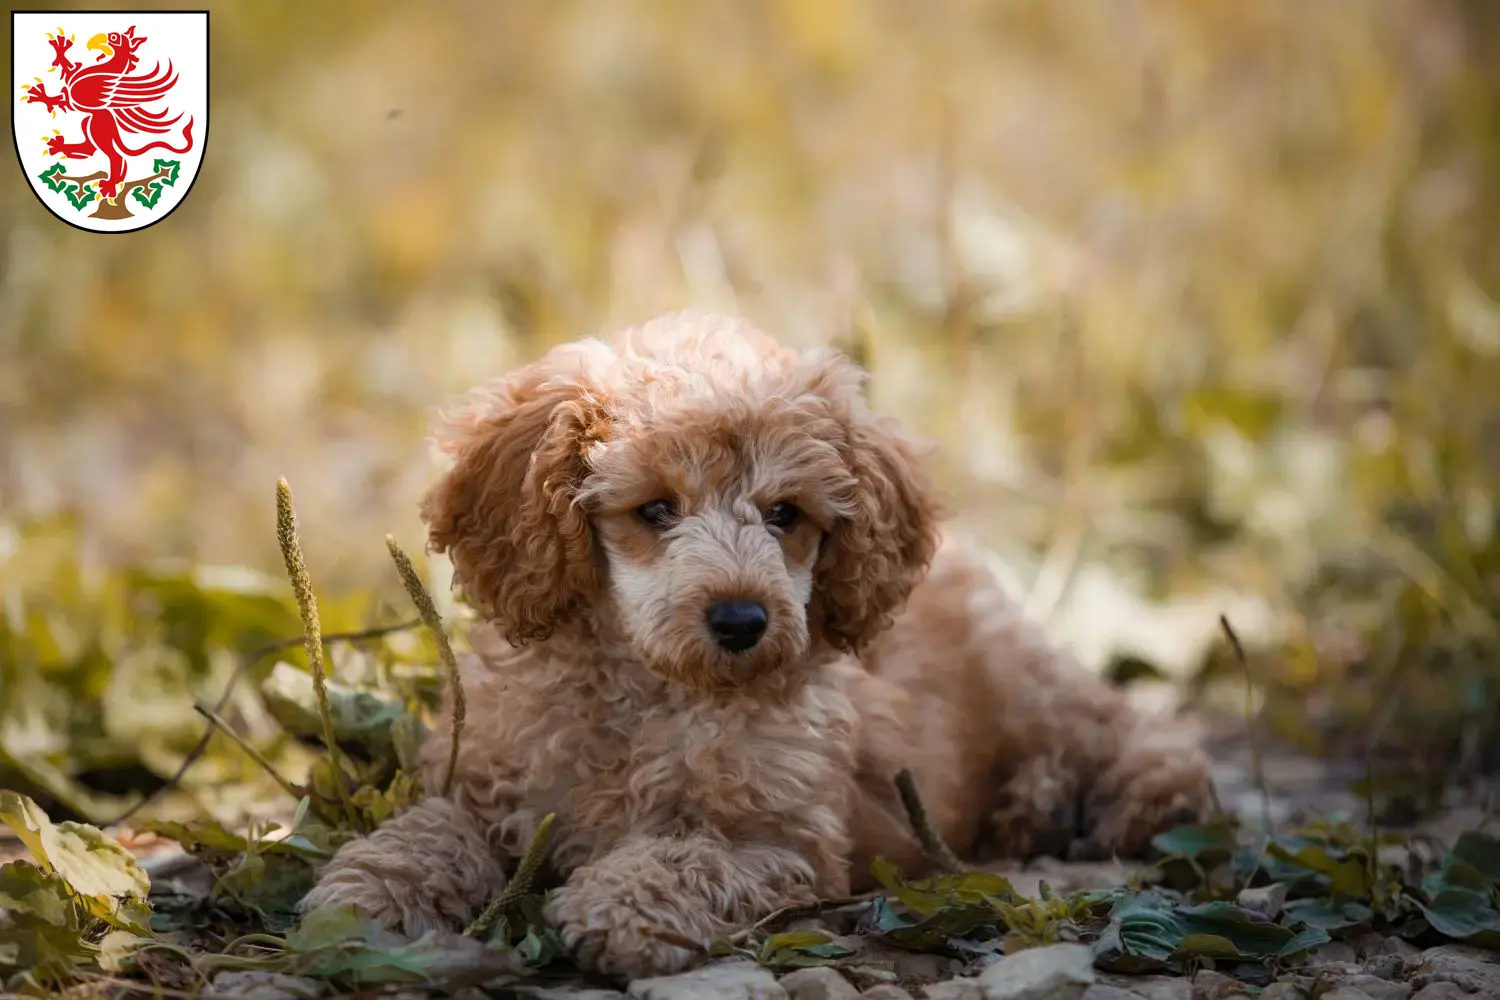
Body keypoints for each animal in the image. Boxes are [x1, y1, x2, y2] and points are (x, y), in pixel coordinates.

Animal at [301, 310, 1218, 977]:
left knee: (1123, 726)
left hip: (1023, 678)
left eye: (786, 514)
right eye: (655, 509)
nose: (743, 620)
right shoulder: (488, 780)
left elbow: (694, 856)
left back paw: (1106, 797)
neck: (655, 689)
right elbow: (434, 826)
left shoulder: (787, 841)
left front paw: (620, 903)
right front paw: (370, 888)